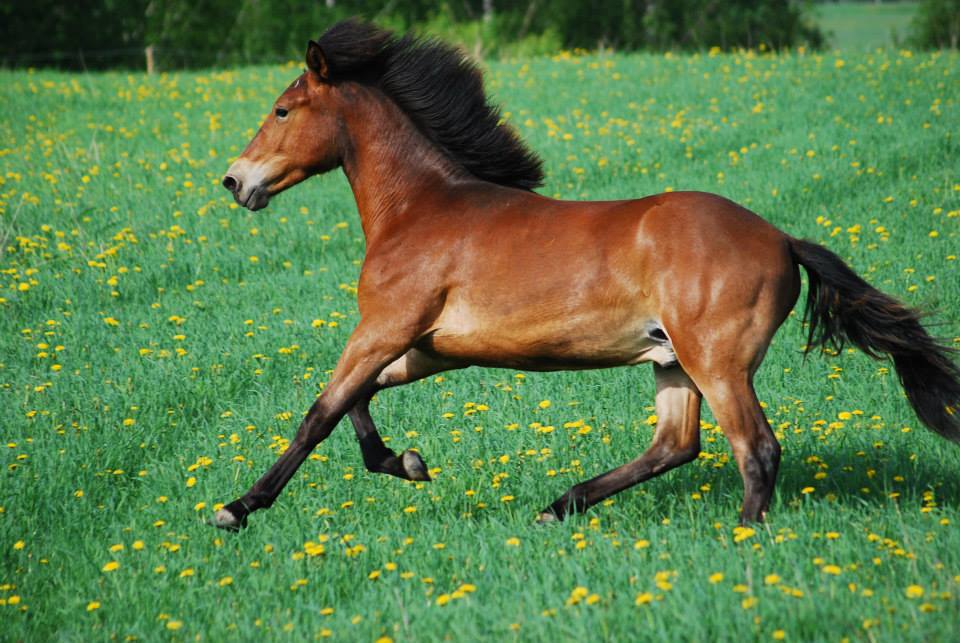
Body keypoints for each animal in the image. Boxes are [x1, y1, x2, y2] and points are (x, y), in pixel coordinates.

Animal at [213, 19, 960, 531]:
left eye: (282, 109)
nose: (235, 181)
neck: (421, 209)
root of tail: (780, 238)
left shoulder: (384, 328)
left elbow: (319, 412)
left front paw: (238, 507)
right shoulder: (426, 348)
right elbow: (356, 404)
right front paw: (407, 463)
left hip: (718, 362)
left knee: (756, 448)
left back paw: (744, 539)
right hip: (672, 362)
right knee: (675, 445)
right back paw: (560, 505)